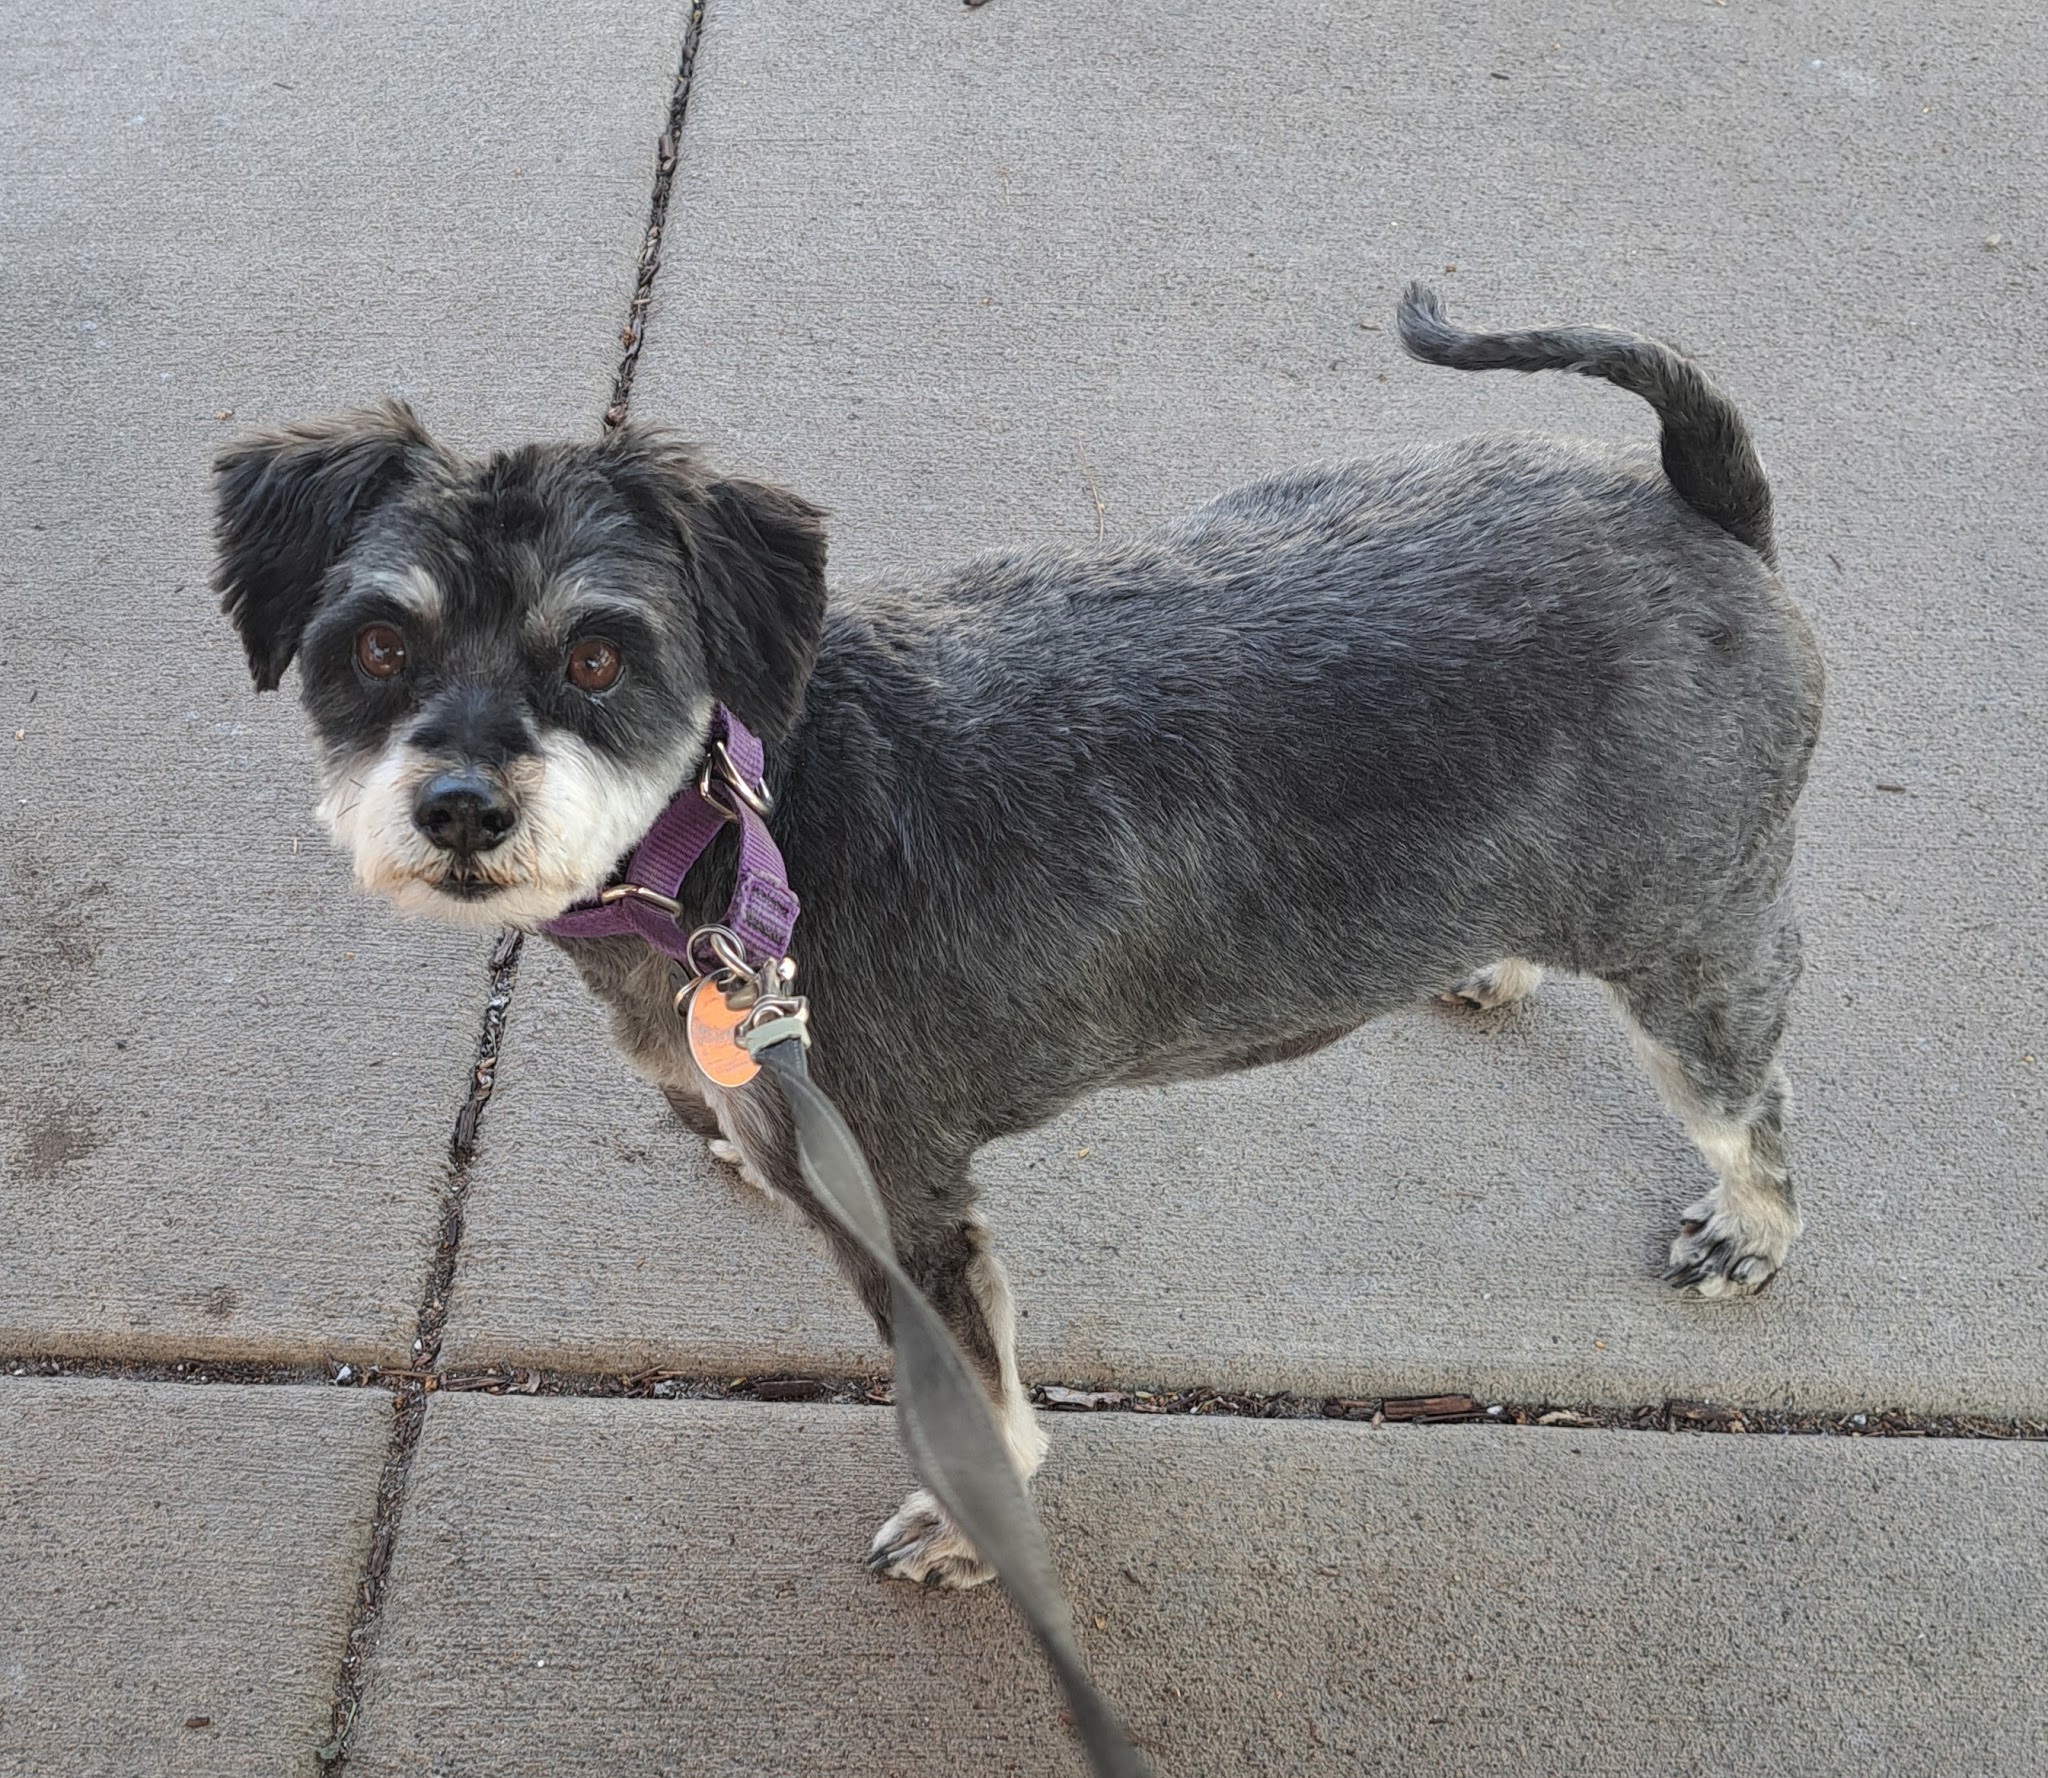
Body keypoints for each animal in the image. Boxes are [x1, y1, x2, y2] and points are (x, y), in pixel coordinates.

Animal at [215, 286, 1824, 1588]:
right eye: (377, 645)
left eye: (599, 657)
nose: (462, 805)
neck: (727, 840)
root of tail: (1701, 505)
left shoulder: (906, 1206)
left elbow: (977, 1406)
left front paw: (971, 1525)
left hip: (1694, 945)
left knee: (1749, 1095)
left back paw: (1749, 1222)